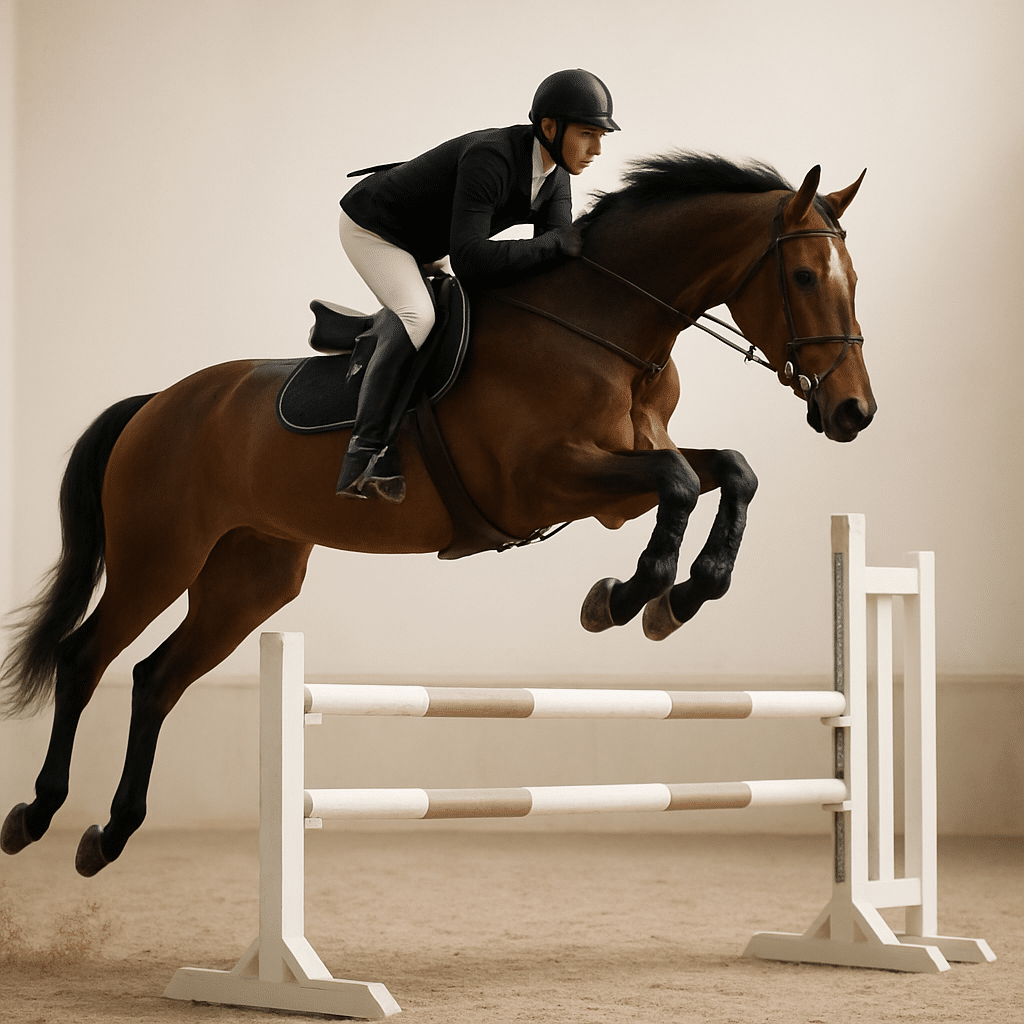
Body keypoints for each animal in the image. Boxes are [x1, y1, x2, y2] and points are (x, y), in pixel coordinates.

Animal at [1, 152, 874, 876]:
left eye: (854, 281)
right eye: (803, 277)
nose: (853, 412)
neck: (610, 331)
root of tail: (159, 402)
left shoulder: (615, 493)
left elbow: (726, 472)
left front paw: (682, 596)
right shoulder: (545, 480)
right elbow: (681, 482)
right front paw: (629, 599)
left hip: (250, 578)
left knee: (157, 679)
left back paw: (109, 834)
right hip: (160, 557)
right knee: (86, 659)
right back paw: (36, 815)